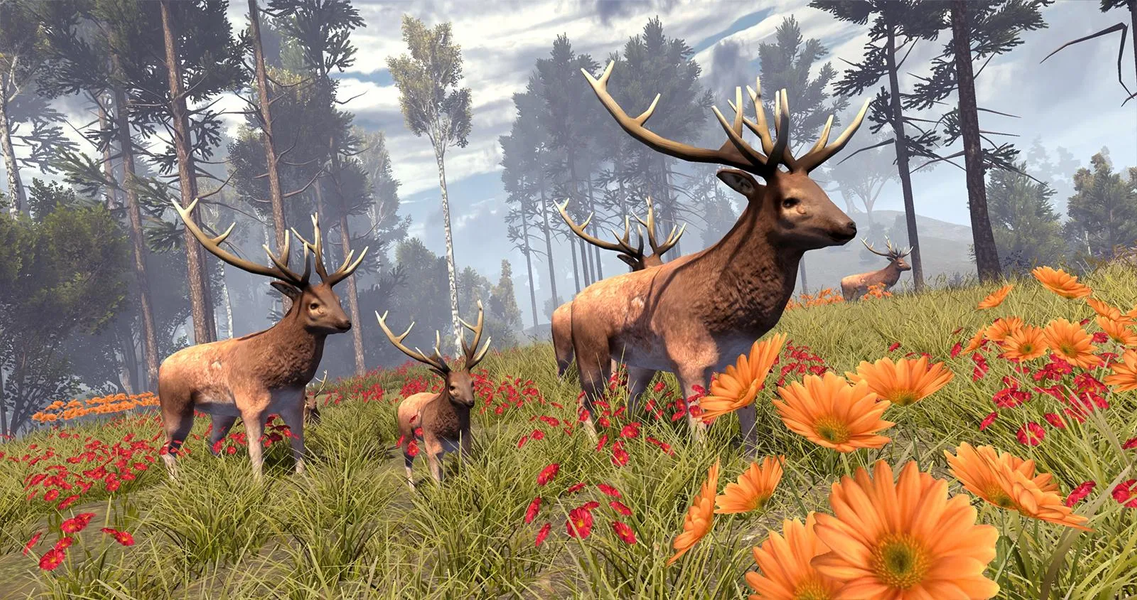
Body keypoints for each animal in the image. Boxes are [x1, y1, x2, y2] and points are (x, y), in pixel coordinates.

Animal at [159, 200, 366, 480]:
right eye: (313, 305)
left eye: (338, 299)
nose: (346, 323)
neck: (282, 376)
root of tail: (160, 368)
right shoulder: (250, 405)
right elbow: (256, 453)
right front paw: (259, 485)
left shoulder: (295, 402)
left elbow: (299, 445)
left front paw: (303, 477)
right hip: (175, 406)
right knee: (167, 448)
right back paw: (179, 483)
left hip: (222, 412)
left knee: (212, 442)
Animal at [376, 301, 491, 491]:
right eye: (452, 387)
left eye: (472, 383)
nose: (470, 402)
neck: (450, 431)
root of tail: (405, 400)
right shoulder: (431, 444)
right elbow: (436, 480)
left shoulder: (465, 441)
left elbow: (467, 471)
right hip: (407, 435)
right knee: (408, 460)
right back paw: (413, 490)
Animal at [569, 61, 868, 450]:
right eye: (789, 200)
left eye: (819, 188)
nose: (849, 226)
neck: (724, 319)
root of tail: (570, 306)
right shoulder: (687, 359)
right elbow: (699, 429)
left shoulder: (740, 356)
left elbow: (748, 415)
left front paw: (752, 456)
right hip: (591, 354)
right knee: (585, 401)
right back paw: (594, 446)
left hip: (640, 361)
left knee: (631, 397)